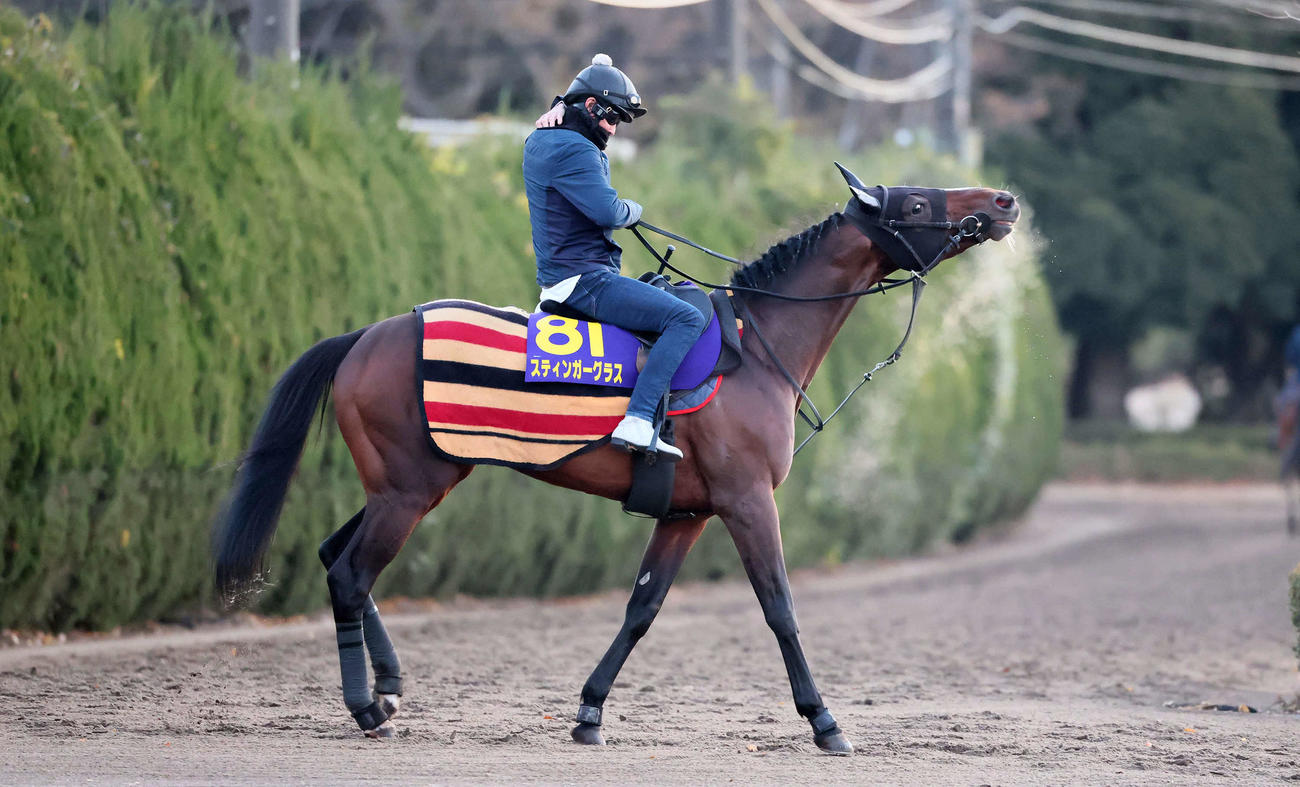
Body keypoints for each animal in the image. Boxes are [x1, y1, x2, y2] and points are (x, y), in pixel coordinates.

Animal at [212, 163, 1020, 754]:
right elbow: (780, 607)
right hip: (410, 490)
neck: (756, 349)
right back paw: (365, 706)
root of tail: (368, 335)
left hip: (405, 485)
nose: (1002, 200)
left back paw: (387, 684)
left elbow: (642, 607)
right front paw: (825, 722)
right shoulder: (747, 500)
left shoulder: (689, 513)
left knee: (333, 559)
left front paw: (589, 712)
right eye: (917, 200)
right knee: (351, 572)